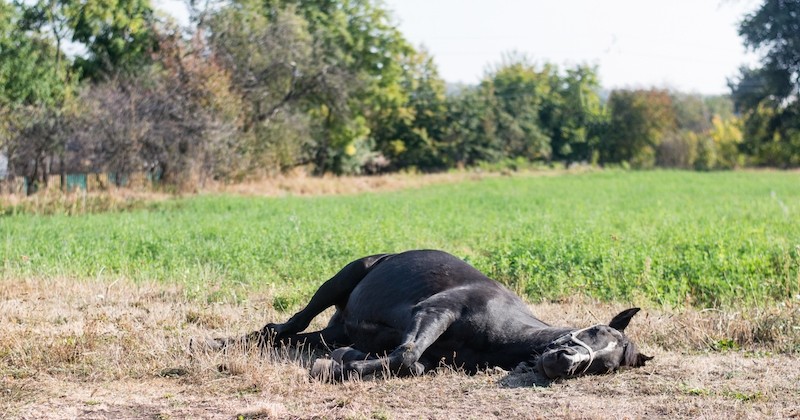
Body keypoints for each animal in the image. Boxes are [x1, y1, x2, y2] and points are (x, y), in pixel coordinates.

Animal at [206, 249, 648, 380]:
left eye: (606, 366)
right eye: (594, 330)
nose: (565, 361)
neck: (501, 328)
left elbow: (412, 363)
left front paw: (344, 362)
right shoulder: (435, 312)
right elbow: (405, 356)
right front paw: (336, 368)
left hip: (336, 330)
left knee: (280, 335)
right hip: (341, 280)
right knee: (291, 322)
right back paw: (217, 343)